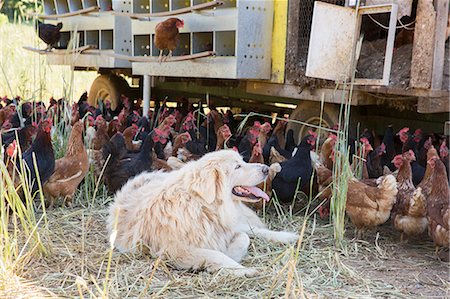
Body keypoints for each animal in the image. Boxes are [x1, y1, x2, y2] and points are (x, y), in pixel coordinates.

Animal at [107, 151, 298, 278]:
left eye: (242, 161)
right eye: (237, 166)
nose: (267, 169)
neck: (202, 205)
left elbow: (244, 238)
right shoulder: (176, 250)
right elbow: (217, 254)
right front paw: (241, 269)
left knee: (253, 230)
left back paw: (289, 237)